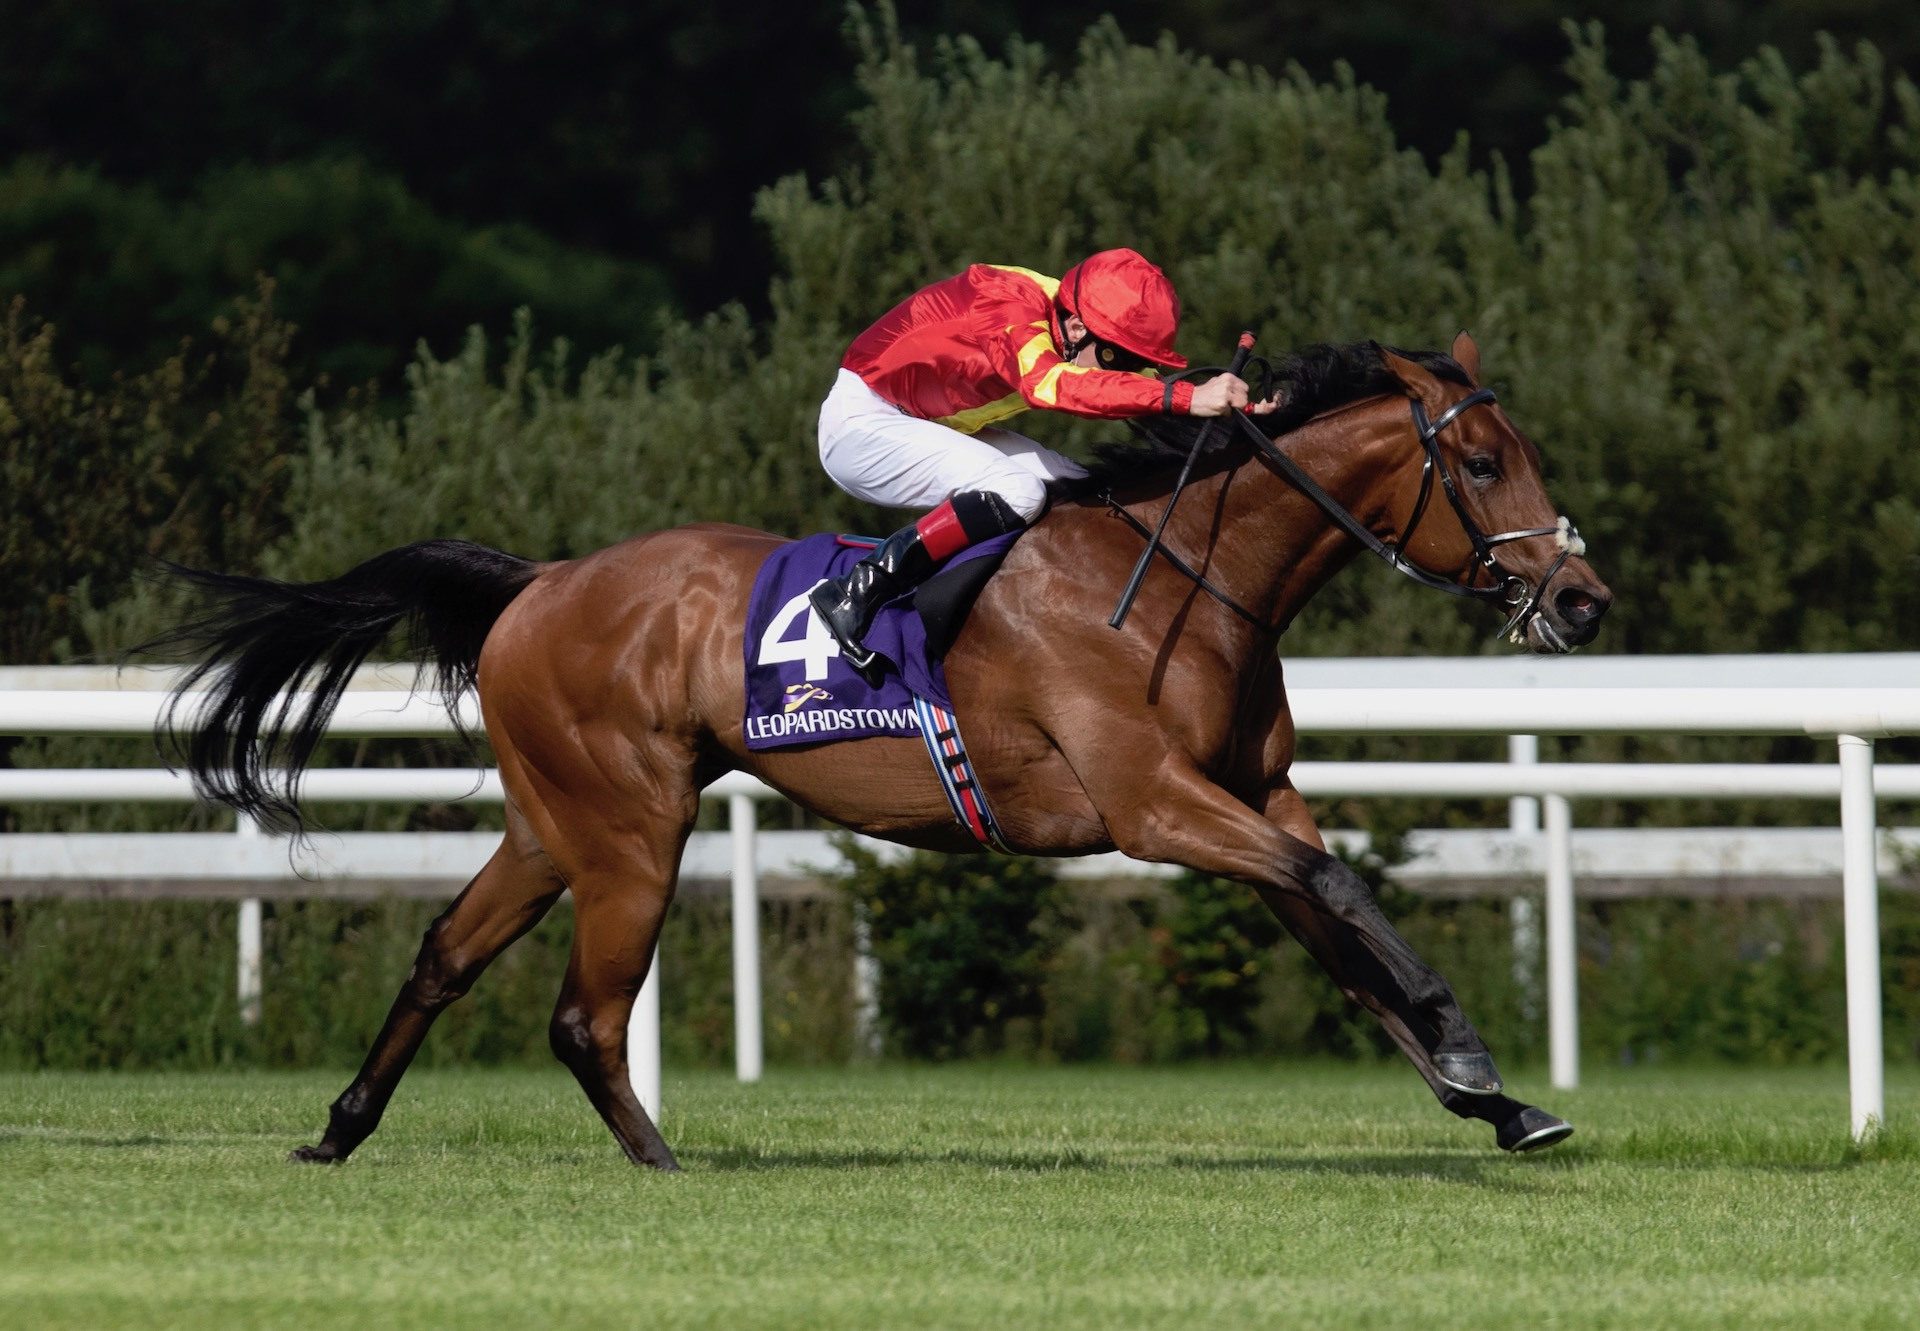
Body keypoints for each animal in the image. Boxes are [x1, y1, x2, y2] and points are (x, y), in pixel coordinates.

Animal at [161, 334, 1605, 1175]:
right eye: (1485, 462)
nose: (1583, 600)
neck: (1195, 576)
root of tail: (540, 580)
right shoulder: (1156, 803)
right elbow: (1343, 891)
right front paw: (1473, 1060)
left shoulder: (1254, 794)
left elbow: (1344, 934)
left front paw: (1496, 1097)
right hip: (631, 823)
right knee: (584, 1013)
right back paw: (661, 1160)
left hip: (550, 819)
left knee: (446, 956)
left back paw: (341, 1127)